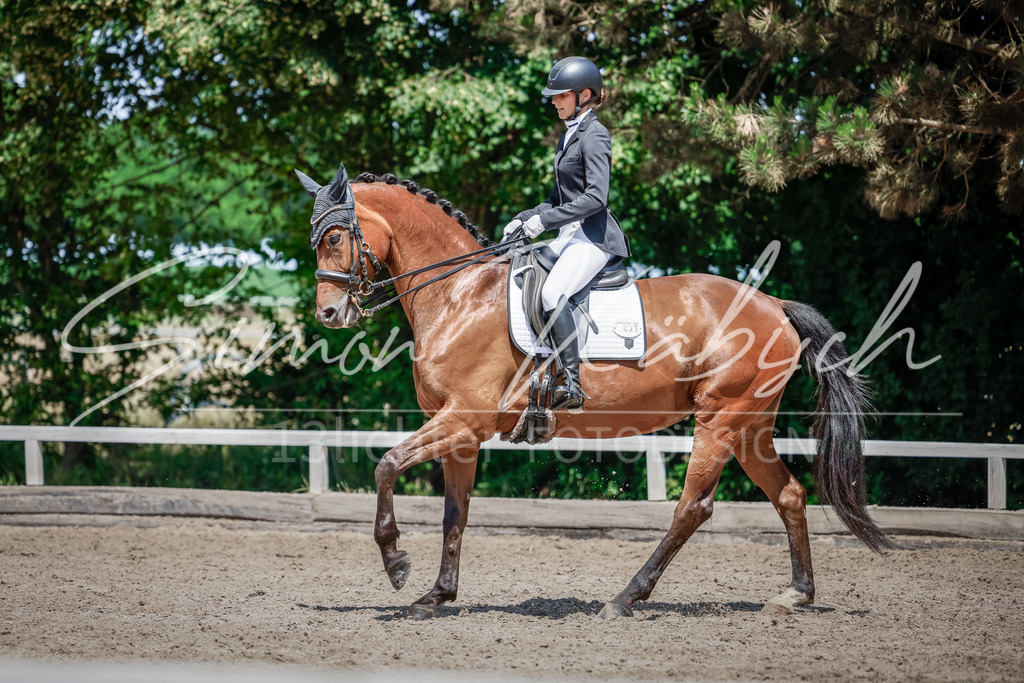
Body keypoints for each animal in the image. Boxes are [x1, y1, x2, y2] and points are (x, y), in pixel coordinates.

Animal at [296, 163, 892, 620]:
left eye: (334, 238)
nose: (329, 314)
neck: (460, 295)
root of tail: (774, 305)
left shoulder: (462, 419)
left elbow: (386, 465)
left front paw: (396, 564)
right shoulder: (461, 434)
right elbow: (454, 514)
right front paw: (436, 595)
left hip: (719, 421)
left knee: (691, 509)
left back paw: (625, 598)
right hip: (749, 427)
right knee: (788, 495)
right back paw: (795, 595)